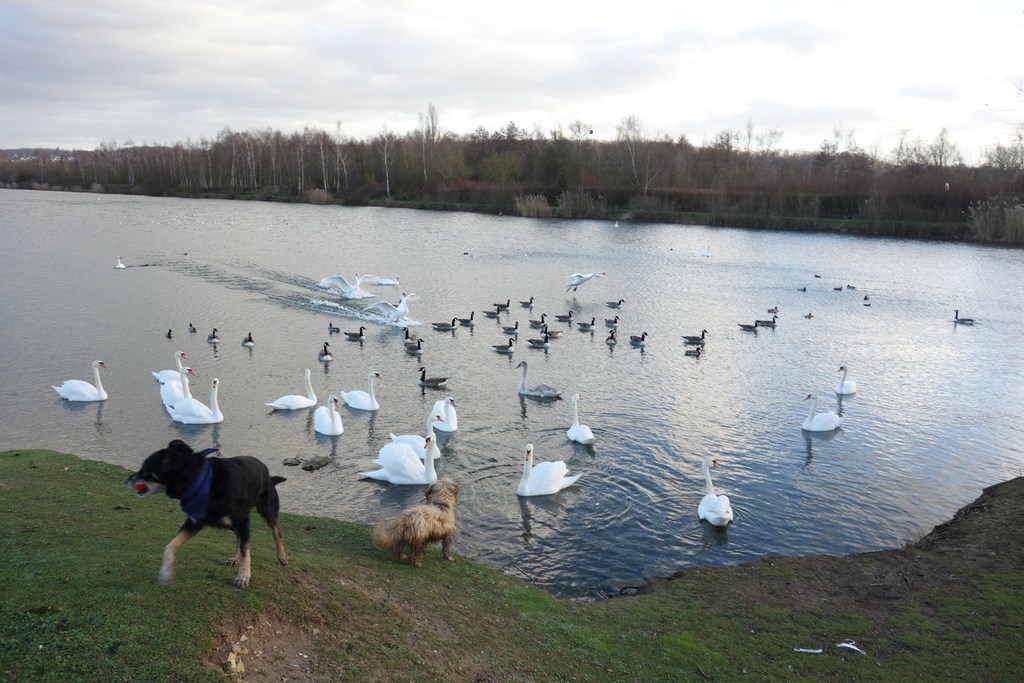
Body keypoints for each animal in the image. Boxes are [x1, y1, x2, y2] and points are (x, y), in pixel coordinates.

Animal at [128, 440, 290, 589]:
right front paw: (166, 574)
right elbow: (169, 546)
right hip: (232, 523)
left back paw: (281, 555)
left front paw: (243, 577)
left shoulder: (242, 520)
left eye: (145, 468)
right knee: (239, 538)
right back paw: (234, 558)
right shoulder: (194, 523)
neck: (199, 480)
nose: (127, 480)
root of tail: (268, 473)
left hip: (267, 509)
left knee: (276, 530)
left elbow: (246, 551)